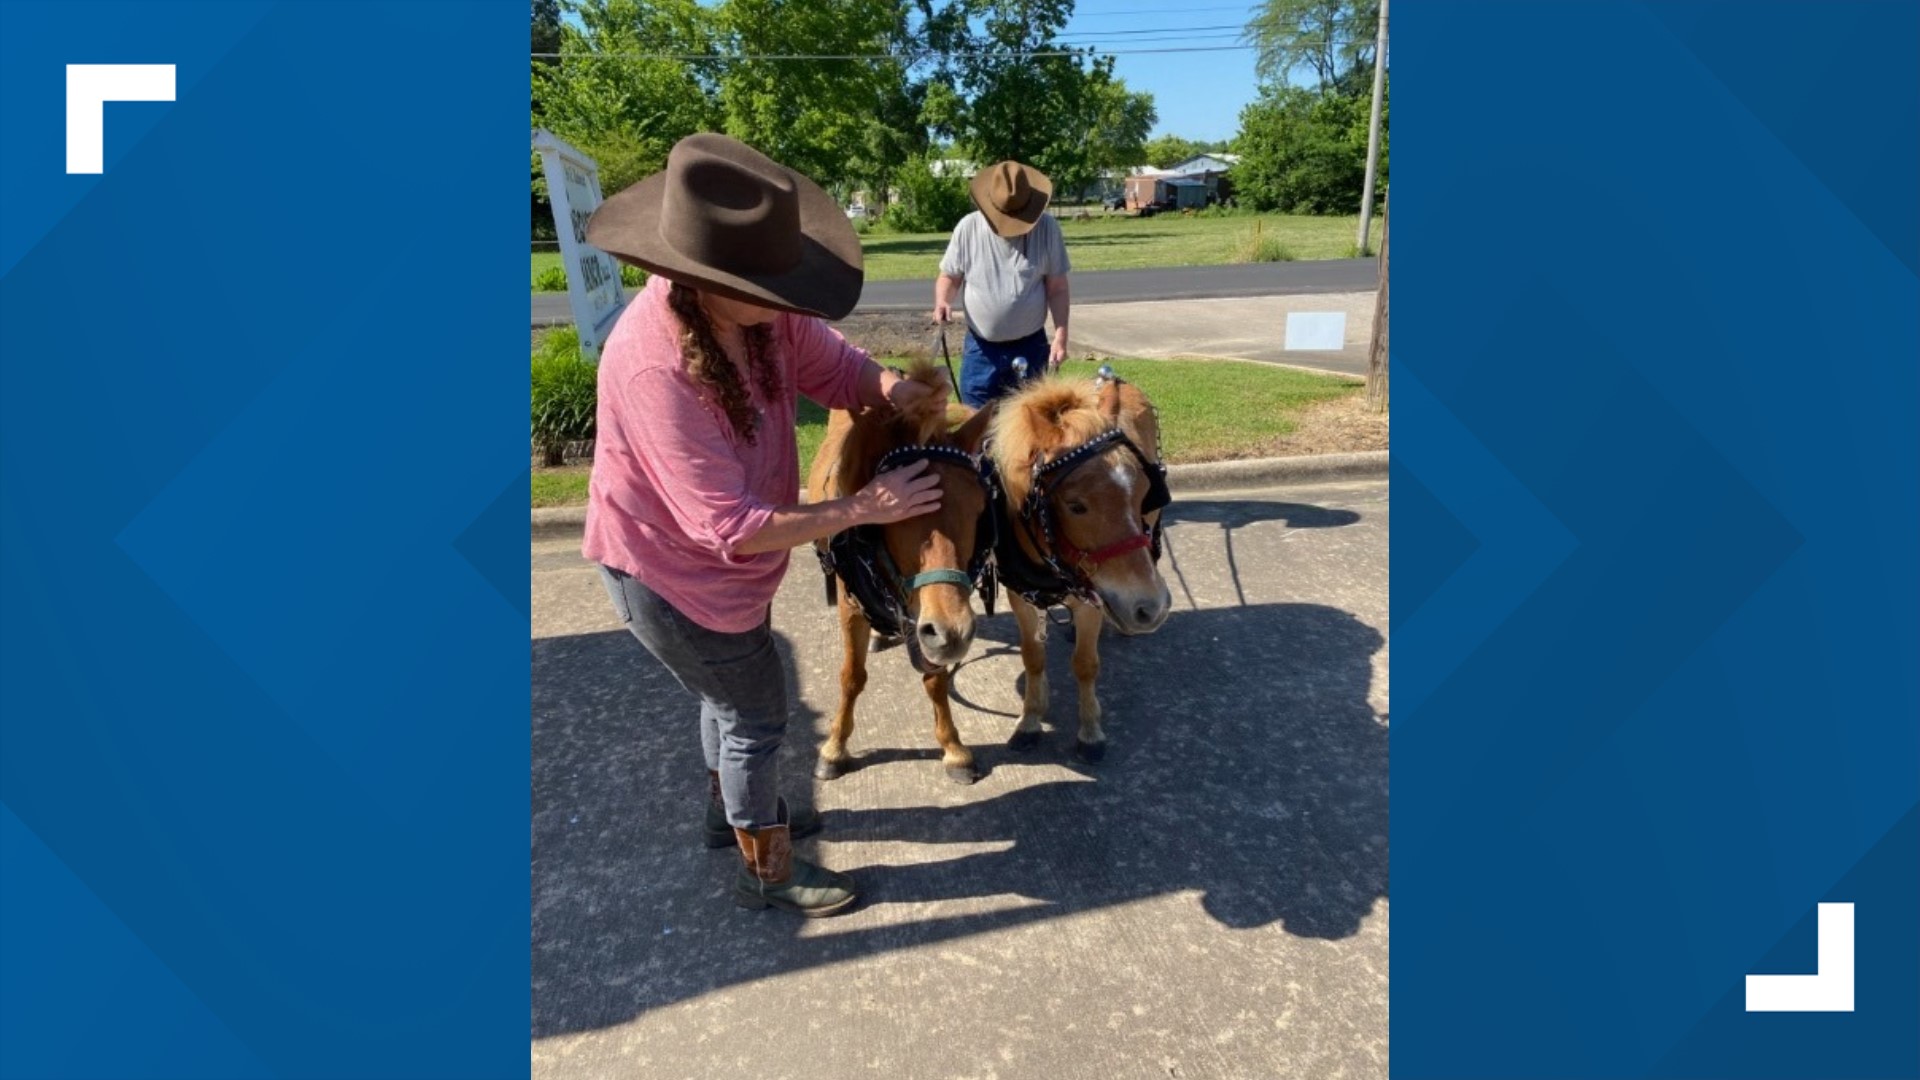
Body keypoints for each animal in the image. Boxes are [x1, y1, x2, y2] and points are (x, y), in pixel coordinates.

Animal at [806, 361, 999, 784]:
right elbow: (852, 677)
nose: (954, 633)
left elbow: (936, 678)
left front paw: (953, 748)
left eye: (979, 508)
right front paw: (834, 746)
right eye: (895, 511)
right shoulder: (850, 605)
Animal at [985, 370, 1174, 763]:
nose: (1151, 606)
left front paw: (1089, 731)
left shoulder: (1095, 597)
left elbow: (1085, 665)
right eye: (1075, 505)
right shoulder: (1020, 597)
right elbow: (1032, 657)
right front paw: (1030, 720)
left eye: (1144, 493)